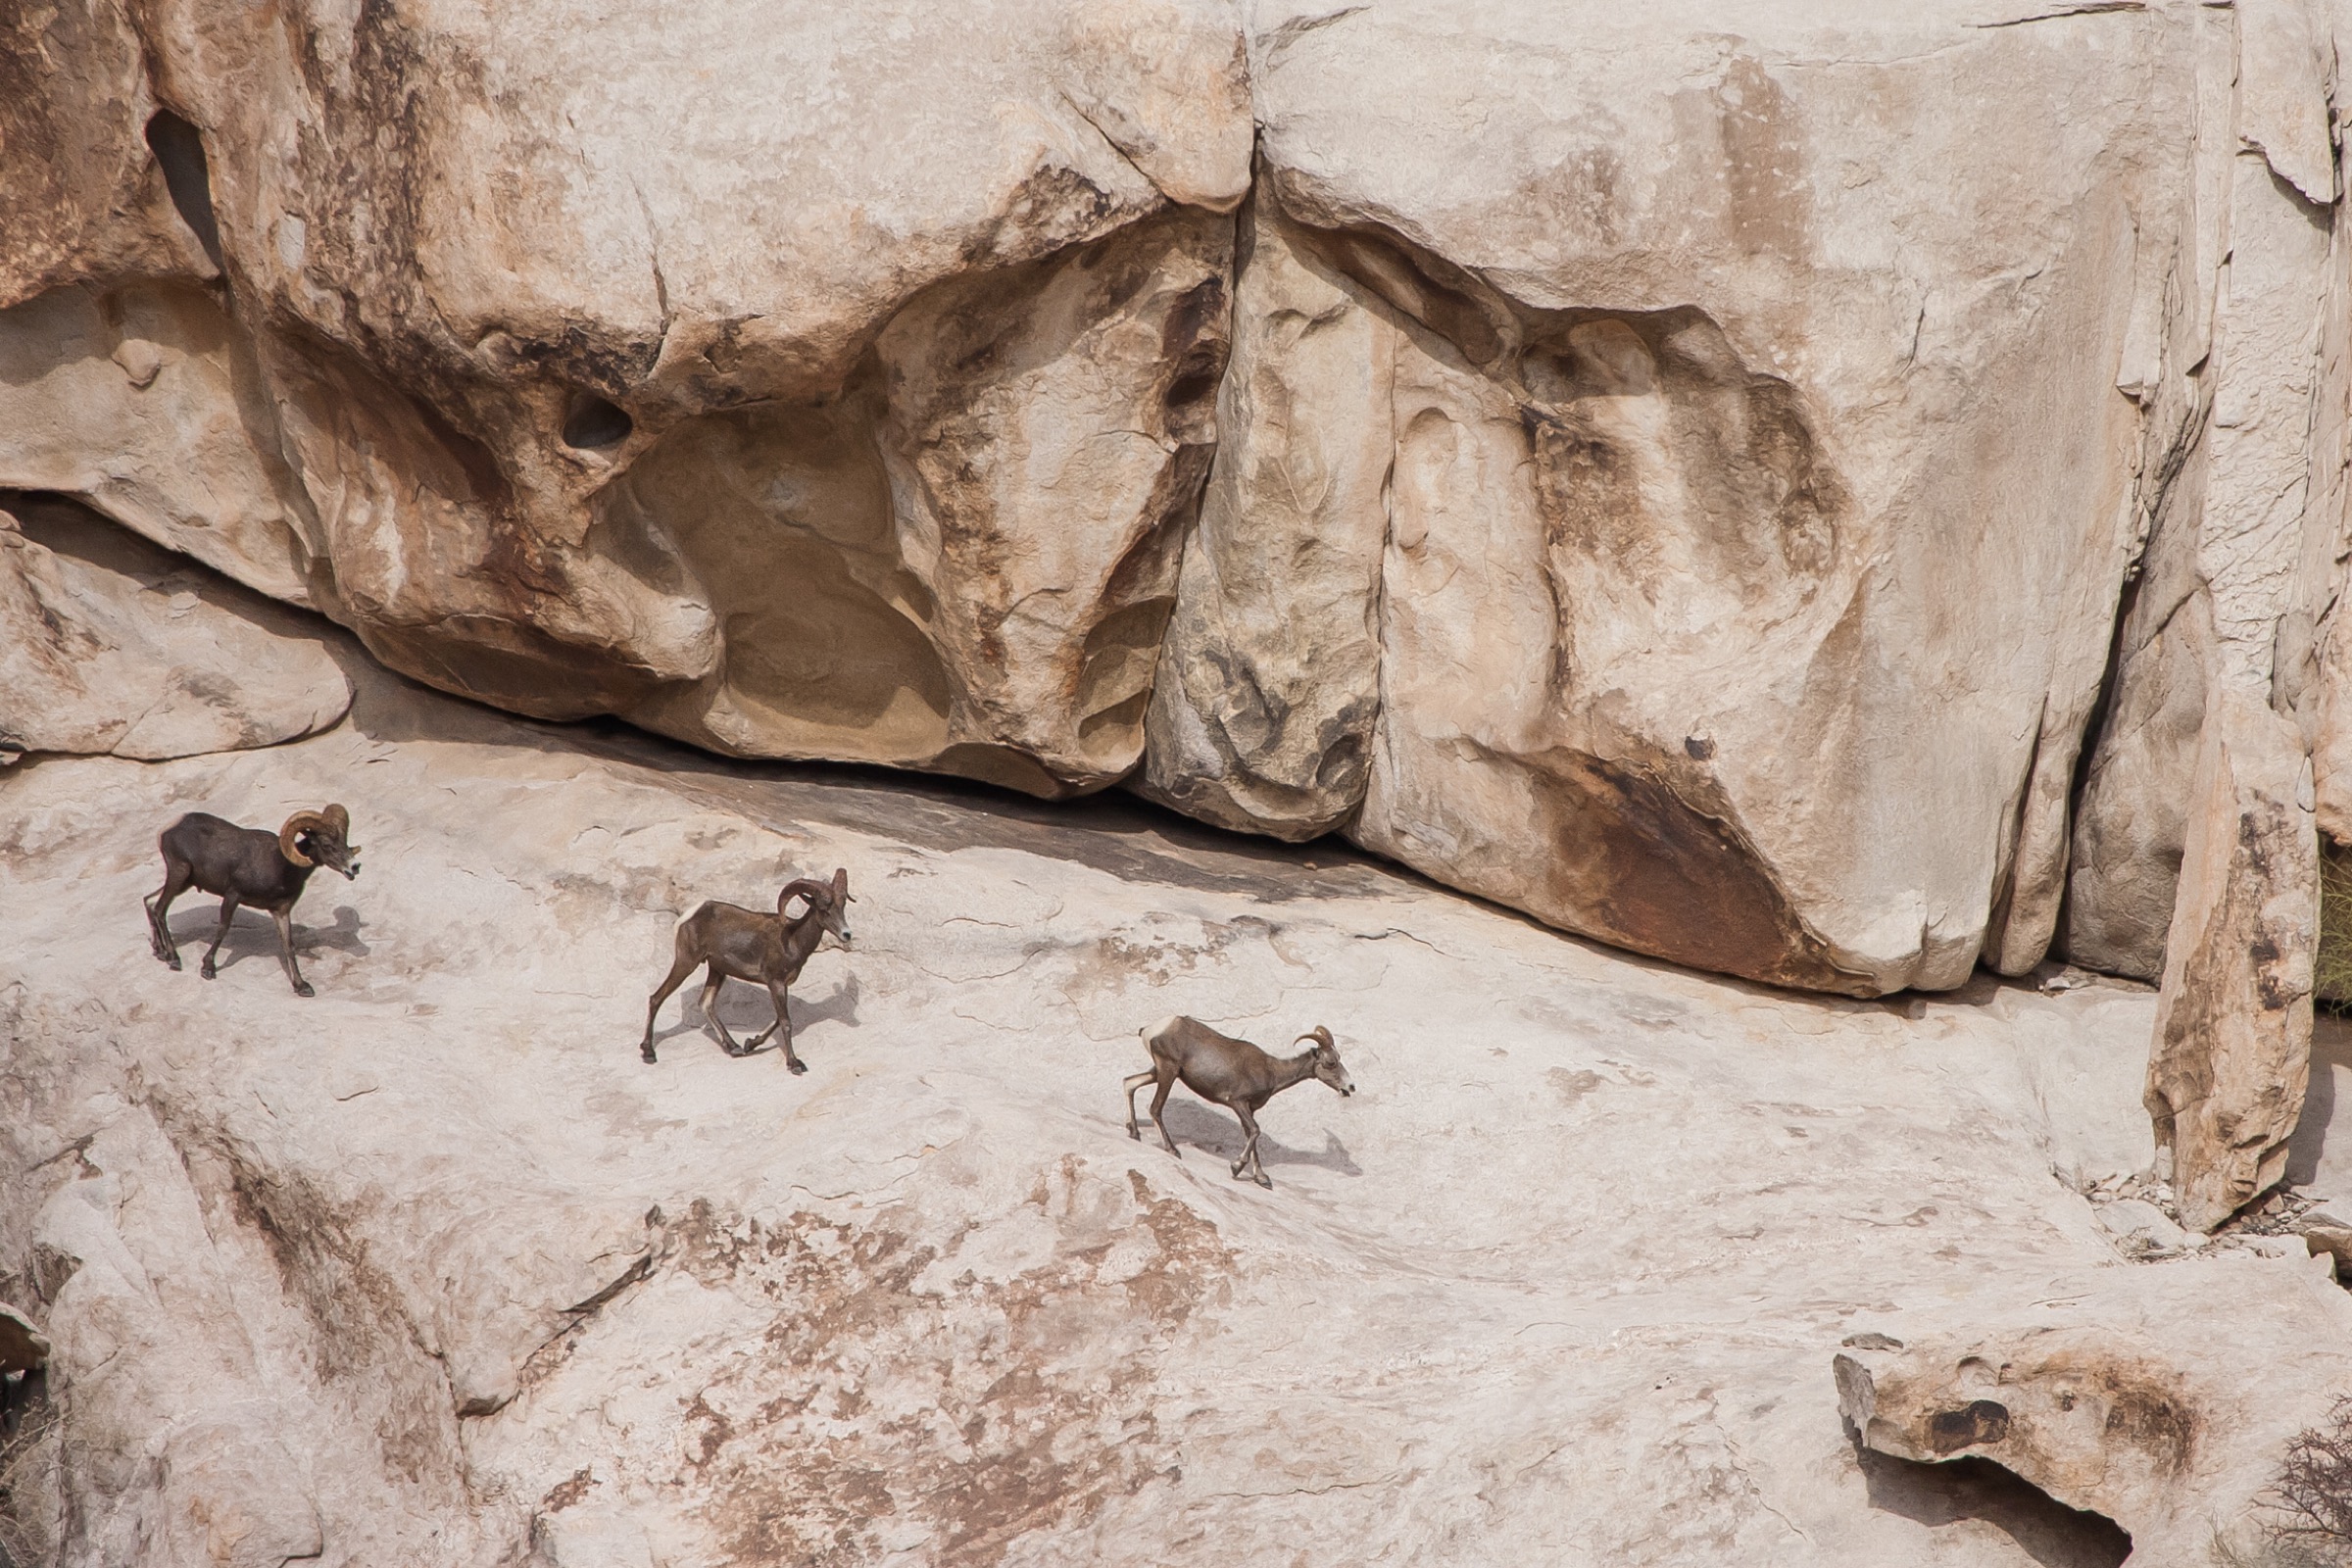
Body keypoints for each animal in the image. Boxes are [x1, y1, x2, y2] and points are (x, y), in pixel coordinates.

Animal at [144, 805, 360, 996]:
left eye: (344, 842)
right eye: (327, 845)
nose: (355, 867)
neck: (282, 867)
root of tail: (168, 829)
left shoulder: (281, 911)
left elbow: (289, 945)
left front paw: (302, 987)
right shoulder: (233, 895)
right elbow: (223, 928)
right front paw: (208, 969)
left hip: (185, 882)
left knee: (149, 902)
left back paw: (160, 952)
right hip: (179, 873)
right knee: (160, 909)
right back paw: (174, 959)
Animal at [640, 868, 851, 1072]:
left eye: (842, 906)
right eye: (824, 909)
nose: (847, 934)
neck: (793, 940)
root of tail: (690, 915)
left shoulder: (782, 986)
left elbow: (778, 1019)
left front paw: (750, 1044)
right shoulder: (775, 983)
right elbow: (785, 1022)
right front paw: (794, 1064)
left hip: (717, 971)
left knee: (705, 1003)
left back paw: (734, 1047)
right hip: (686, 963)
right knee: (656, 998)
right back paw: (648, 1052)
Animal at [1125, 1015, 1355, 1188]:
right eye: (1331, 1062)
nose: (1350, 1087)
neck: (1271, 1071)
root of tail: (1154, 1028)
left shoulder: (1249, 1110)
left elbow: (1251, 1137)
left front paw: (1262, 1179)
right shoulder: (1237, 1102)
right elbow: (1255, 1131)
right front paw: (1236, 1167)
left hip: (1160, 1072)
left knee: (1129, 1083)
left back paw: (1134, 1133)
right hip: (1168, 1071)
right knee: (1155, 1108)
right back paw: (1172, 1150)